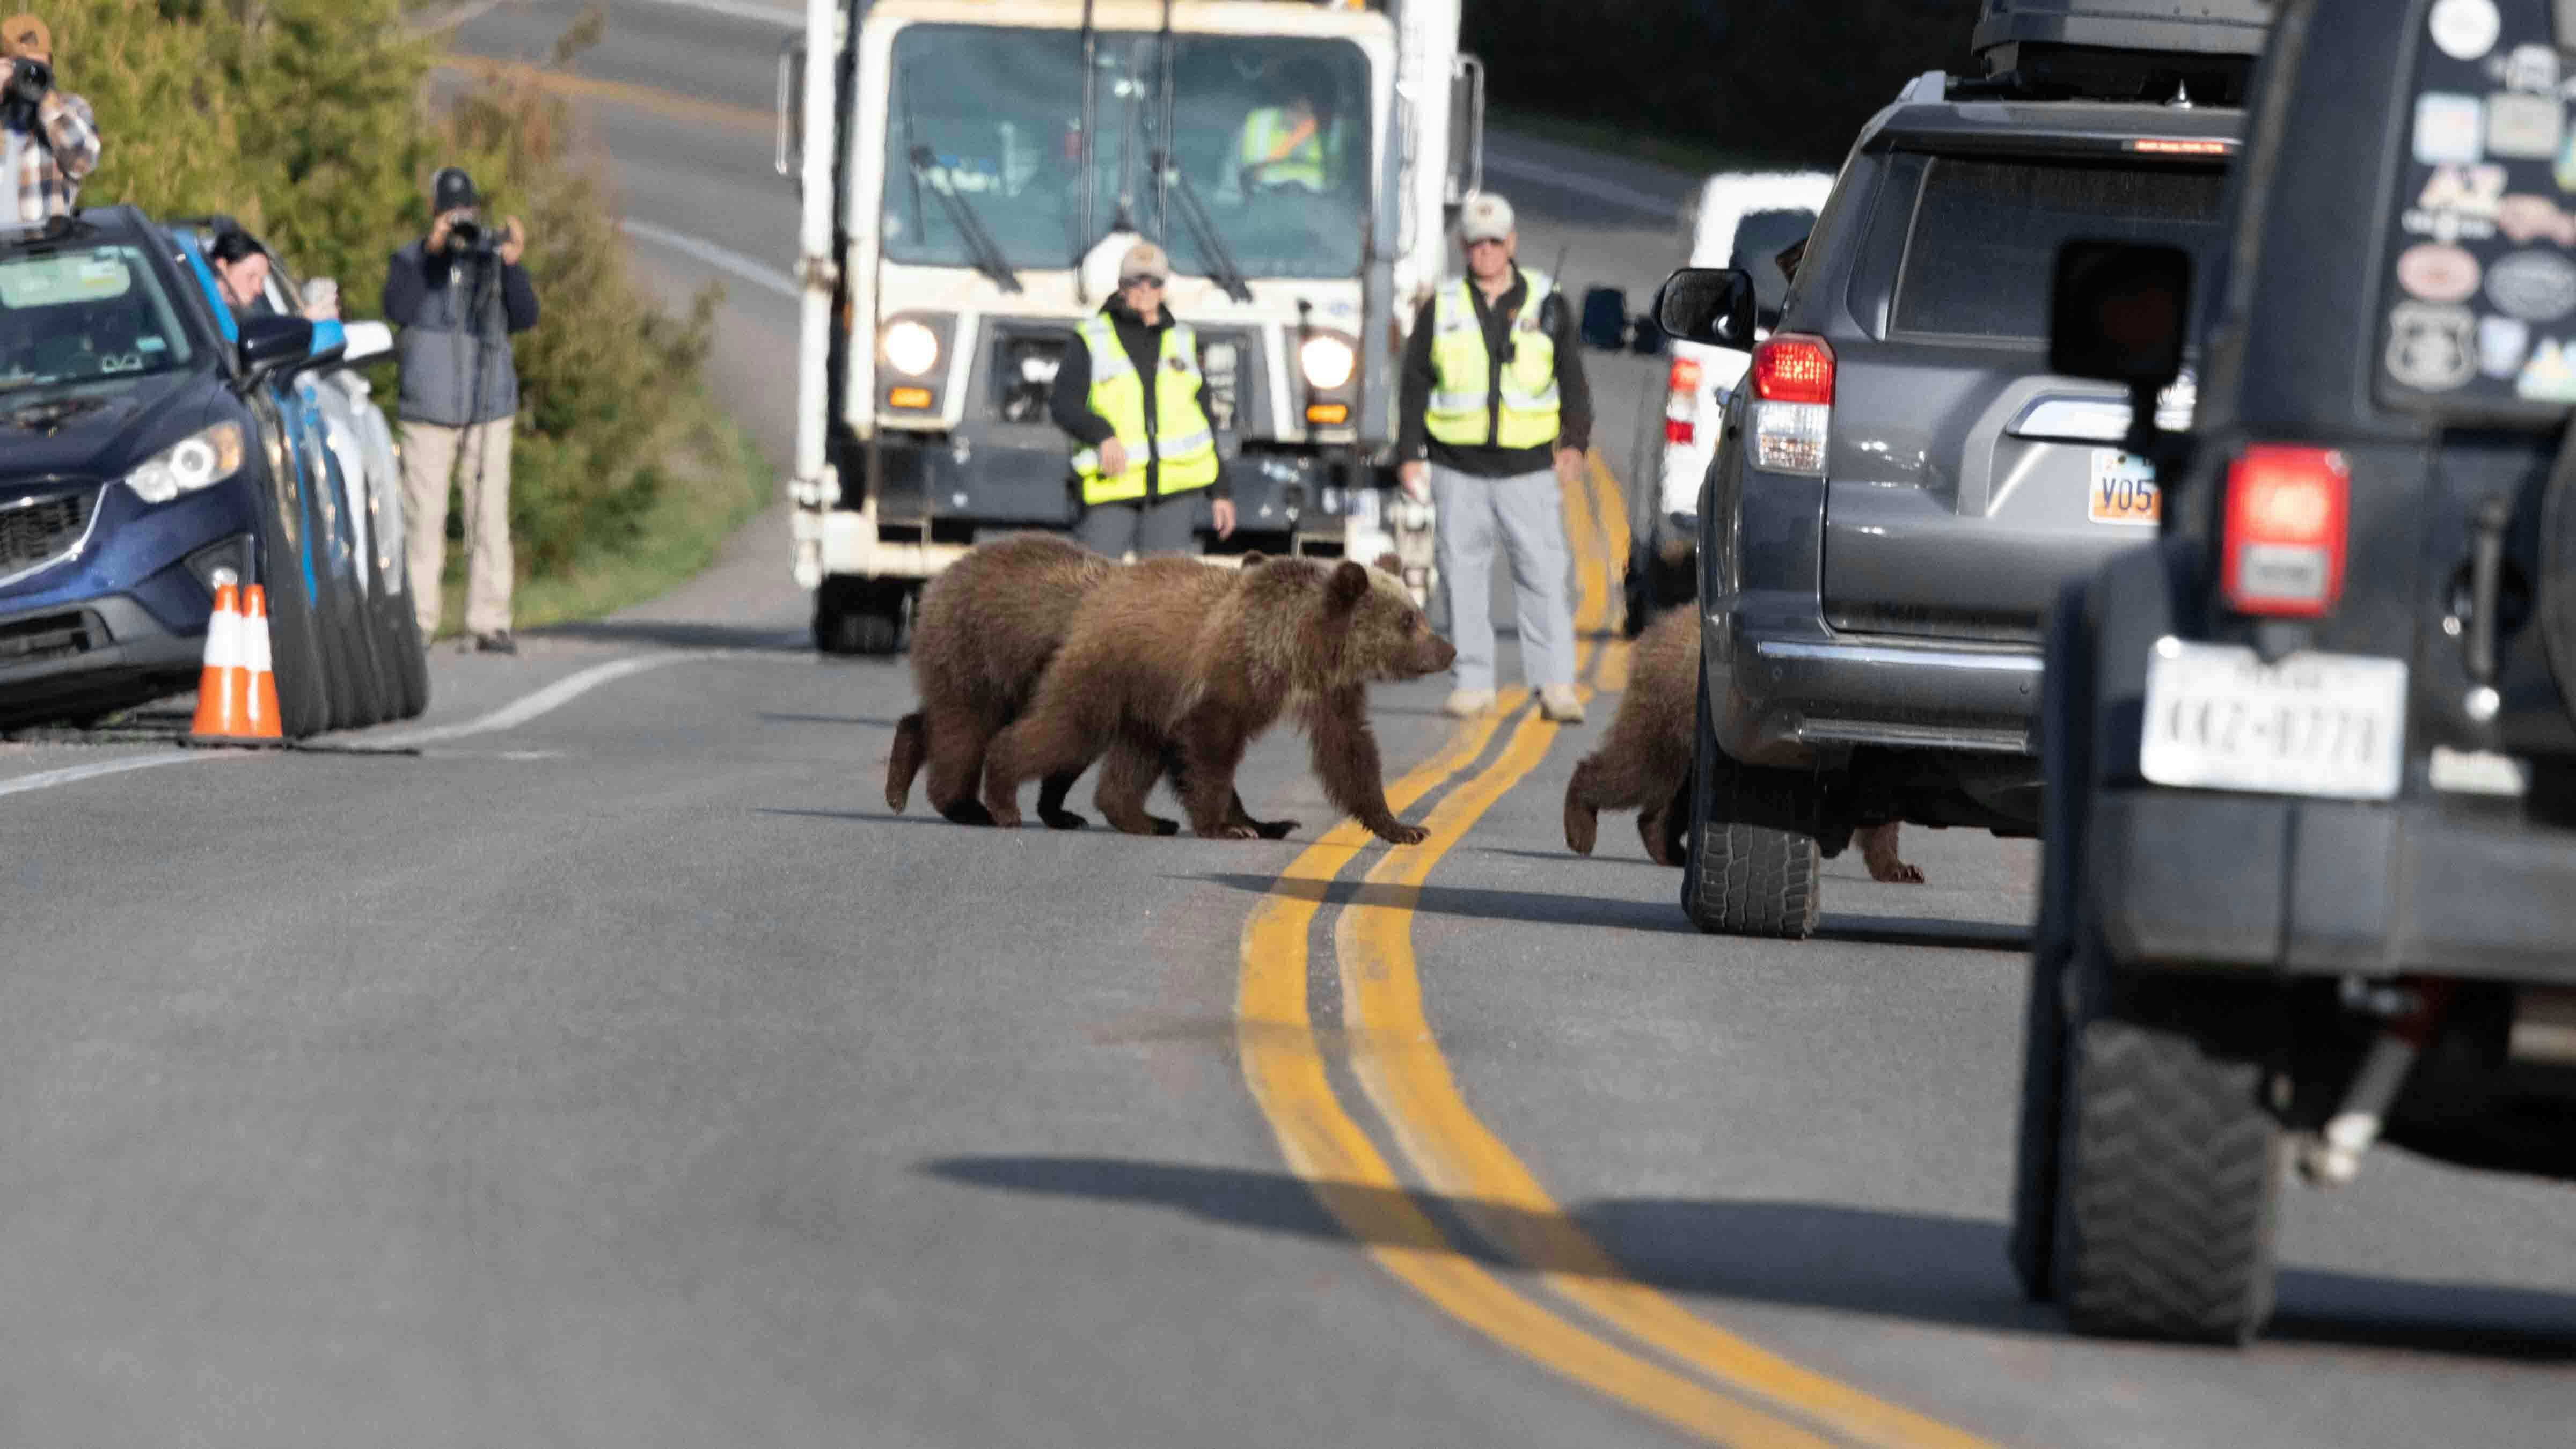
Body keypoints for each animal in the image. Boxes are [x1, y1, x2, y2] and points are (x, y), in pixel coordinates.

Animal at [885, 536, 1291, 836]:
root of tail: (939, 580)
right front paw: (1238, 825)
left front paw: (1261, 823)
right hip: (979, 652)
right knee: (969, 730)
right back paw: (968, 806)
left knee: (943, 720)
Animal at [978, 556, 1456, 844]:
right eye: (1408, 619)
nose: (1447, 650)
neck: (1302, 649)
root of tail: (1093, 596)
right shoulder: (1230, 679)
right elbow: (1211, 750)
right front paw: (1227, 826)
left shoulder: (1330, 693)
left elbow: (1350, 751)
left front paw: (1402, 827)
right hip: (1108, 672)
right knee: (1065, 728)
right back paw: (1003, 795)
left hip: (1147, 699)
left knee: (1135, 756)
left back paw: (1146, 819)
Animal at [1563, 606, 1922, 882]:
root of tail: (1660, 629)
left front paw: (1901, 868)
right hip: (1675, 714)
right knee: (1639, 768)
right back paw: (1581, 828)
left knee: (1674, 793)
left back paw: (1669, 848)